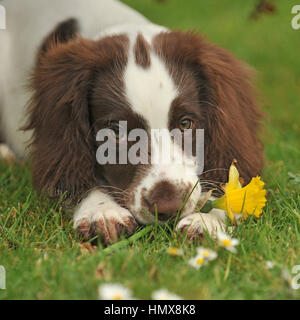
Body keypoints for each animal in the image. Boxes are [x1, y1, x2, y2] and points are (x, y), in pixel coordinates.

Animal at [0, 0, 262, 245]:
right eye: (117, 132)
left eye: (186, 124)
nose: (168, 208)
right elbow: (70, 169)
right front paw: (102, 213)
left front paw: (206, 220)